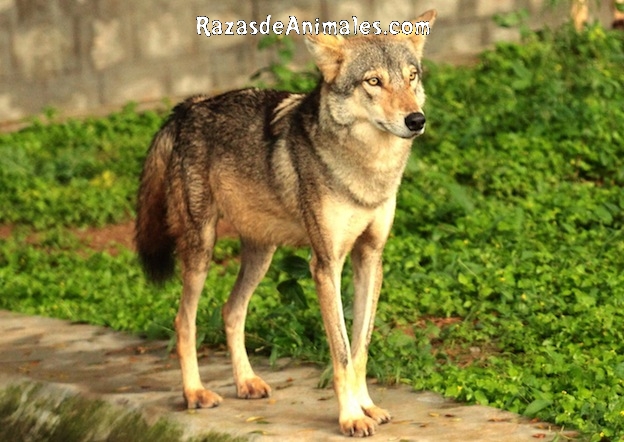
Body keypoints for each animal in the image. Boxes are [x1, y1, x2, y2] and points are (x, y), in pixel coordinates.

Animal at [135, 9, 436, 437]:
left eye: (411, 77)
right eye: (374, 81)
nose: (416, 120)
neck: (367, 170)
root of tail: (188, 107)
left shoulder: (370, 258)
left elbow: (360, 347)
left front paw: (367, 406)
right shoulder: (325, 265)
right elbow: (341, 352)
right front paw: (350, 417)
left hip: (261, 254)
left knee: (230, 311)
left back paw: (246, 382)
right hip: (201, 250)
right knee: (184, 321)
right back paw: (194, 393)